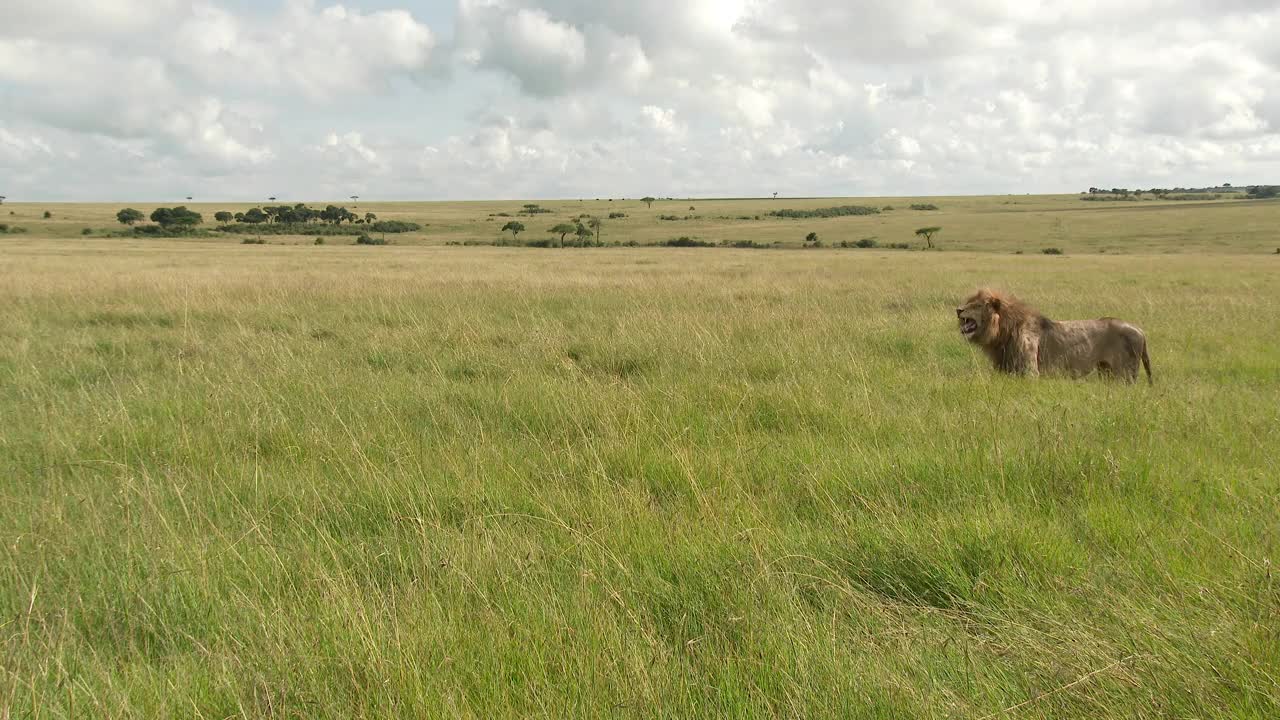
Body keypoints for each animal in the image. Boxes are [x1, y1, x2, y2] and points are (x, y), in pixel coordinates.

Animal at [957, 288, 1157, 384]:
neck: (1004, 330)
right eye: (967, 302)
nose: (958, 310)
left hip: (1125, 374)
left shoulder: (1030, 371)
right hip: (1106, 371)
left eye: (976, 305)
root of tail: (1140, 330)